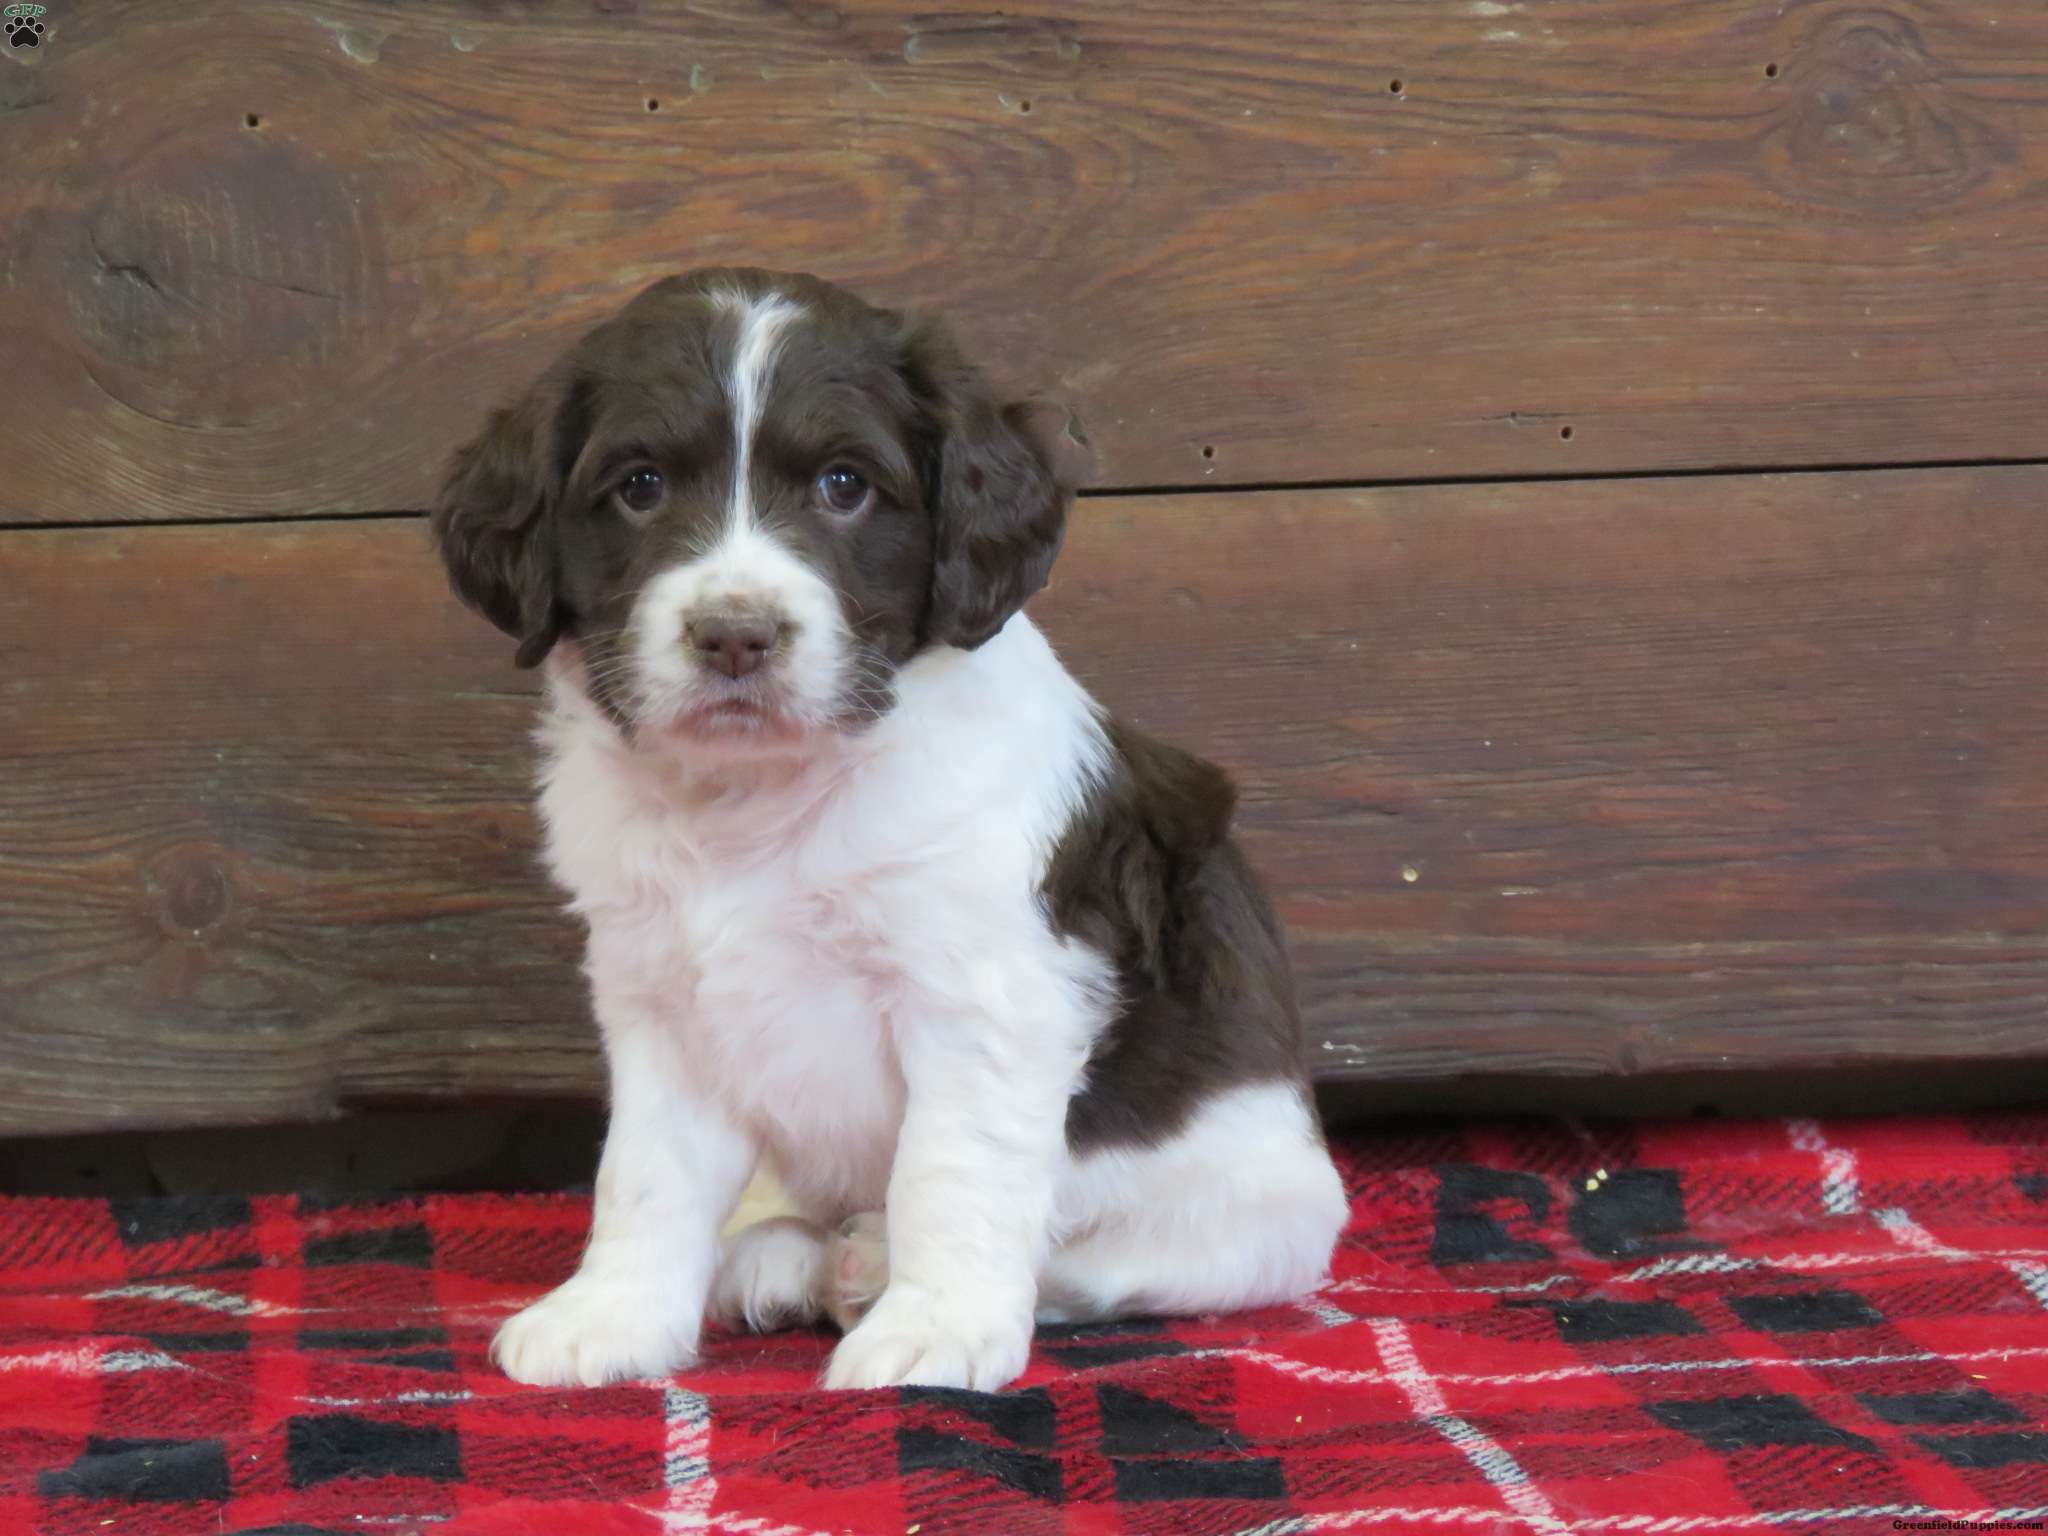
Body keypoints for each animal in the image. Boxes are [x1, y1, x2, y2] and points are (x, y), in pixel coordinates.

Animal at [428, 270, 1343, 1400]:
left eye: (843, 486)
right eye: (639, 486)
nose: (735, 636)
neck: (760, 799)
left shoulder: (983, 997)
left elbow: (949, 1172)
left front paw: (935, 1327)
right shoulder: (659, 1001)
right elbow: (643, 1174)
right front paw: (613, 1315)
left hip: (1266, 1213)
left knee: (1105, 1252)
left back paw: (866, 1265)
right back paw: (783, 1258)